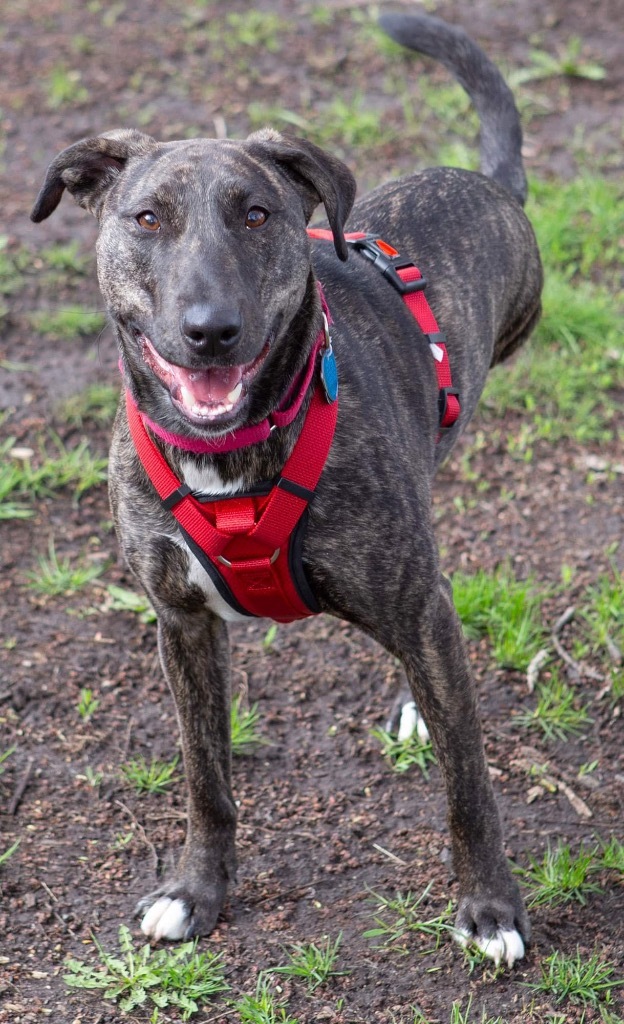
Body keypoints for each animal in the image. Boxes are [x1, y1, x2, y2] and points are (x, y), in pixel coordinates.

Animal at [31, 12, 541, 962]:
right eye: (147, 217)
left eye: (257, 213)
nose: (210, 330)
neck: (230, 449)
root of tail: (486, 184)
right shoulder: (182, 626)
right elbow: (207, 780)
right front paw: (195, 893)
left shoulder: (416, 607)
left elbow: (468, 785)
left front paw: (490, 908)